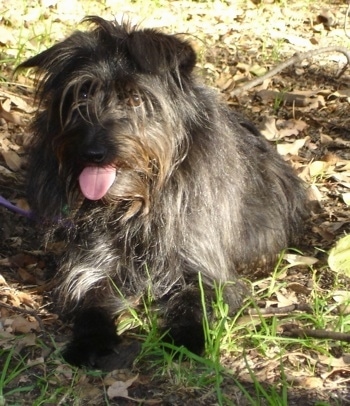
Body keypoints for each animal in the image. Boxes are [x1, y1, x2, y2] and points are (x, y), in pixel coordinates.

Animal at [19, 17, 308, 370]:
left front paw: (183, 341)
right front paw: (90, 342)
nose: (91, 152)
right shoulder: (92, 264)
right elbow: (91, 303)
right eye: (83, 92)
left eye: (135, 98)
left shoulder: (202, 265)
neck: (136, 204)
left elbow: (195, 303)